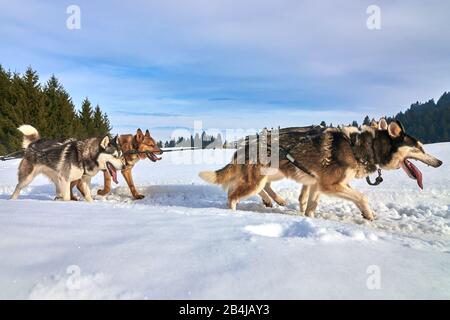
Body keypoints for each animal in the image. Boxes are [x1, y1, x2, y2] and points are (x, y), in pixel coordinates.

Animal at [200, 119, 442, 221]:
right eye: (418, 148)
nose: (440, 162)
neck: (361, 146)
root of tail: (247, 143)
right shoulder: (329, 185)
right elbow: (361, 196)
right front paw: (368, 214)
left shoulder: (316, 184)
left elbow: (309, 204)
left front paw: (309, 218)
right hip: (259, 178)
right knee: (233, 195)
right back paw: (235, 213)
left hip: (272, 174)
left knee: (260, 187)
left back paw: (274, 200)